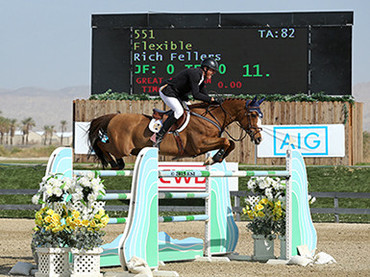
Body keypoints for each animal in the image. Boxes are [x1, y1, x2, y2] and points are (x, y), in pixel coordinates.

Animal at [88, 96, 264, 169]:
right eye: (253, 115)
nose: (259, 139)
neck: (210, 116)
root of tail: (113, 116)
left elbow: (230, 143)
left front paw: (216, 158)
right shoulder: (199, 145)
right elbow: (227, 142)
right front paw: (213, 159)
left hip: (130, 148)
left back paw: (117, 163)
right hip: (121, 147)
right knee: (101, 145)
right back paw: (112, 163)